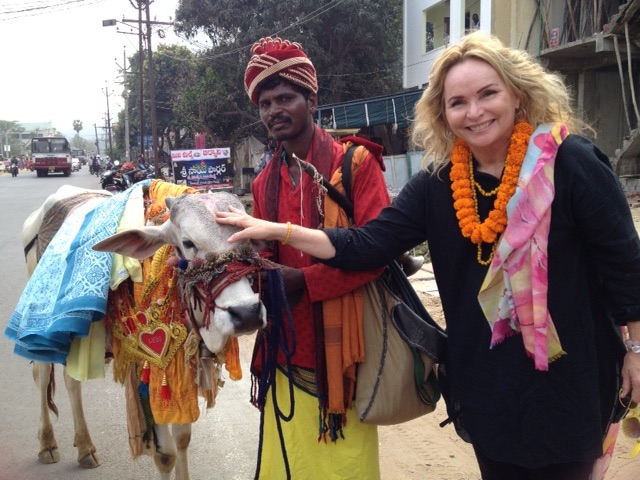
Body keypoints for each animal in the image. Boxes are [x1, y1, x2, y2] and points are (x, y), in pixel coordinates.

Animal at [17, 184, 267, 480]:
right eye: (188, 243)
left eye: (249, 239)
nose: (247, 313)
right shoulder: (145, 367)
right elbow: (166, 455)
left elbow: (182, 438)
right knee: (42, 375)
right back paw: (47, 443)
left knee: (71, 381)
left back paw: (85, 447)